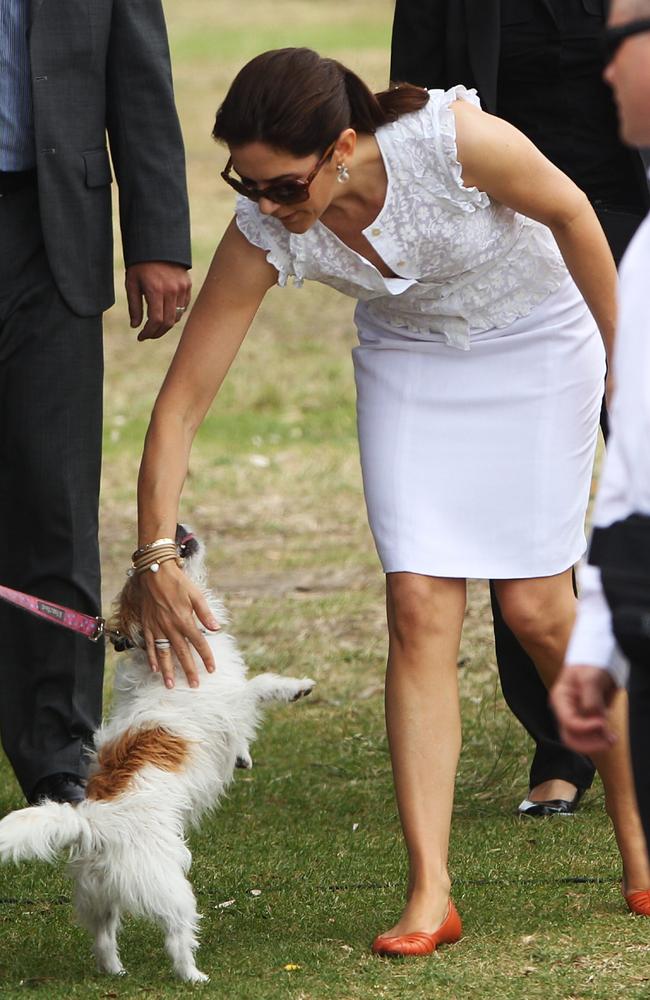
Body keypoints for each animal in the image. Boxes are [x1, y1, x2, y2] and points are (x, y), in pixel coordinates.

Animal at [0, 528, 314, 980]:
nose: (178, 529)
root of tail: (90, 825)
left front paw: (243, 756)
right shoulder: (232, 702)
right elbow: (259, 686)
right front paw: (295, 687)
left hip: (100, 897)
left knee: (103, 938)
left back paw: (115, 971)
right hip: (170, 888)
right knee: (177, 936)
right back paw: (193, 975)